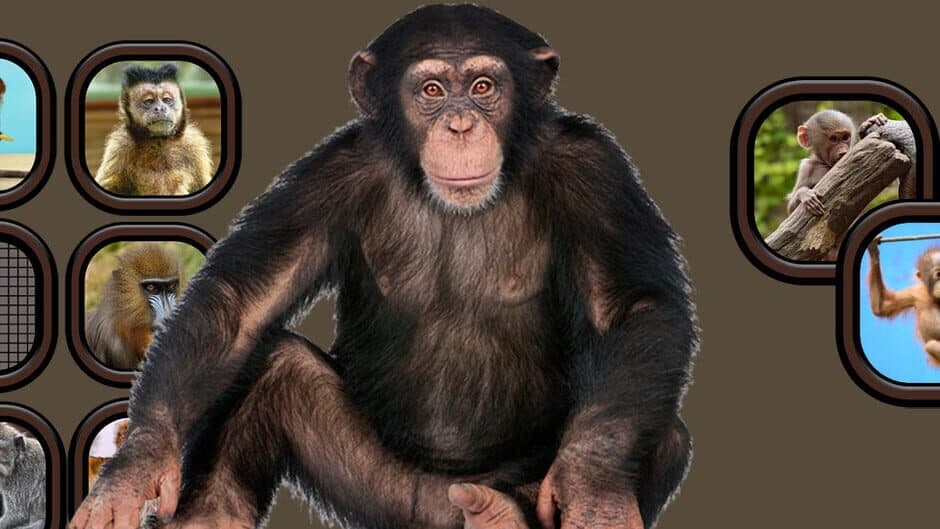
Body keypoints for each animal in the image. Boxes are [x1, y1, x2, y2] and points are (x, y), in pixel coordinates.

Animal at [93, 63, 213, 196]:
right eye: (149, 101)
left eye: (166, 100)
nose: (160, 108)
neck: (159, 140)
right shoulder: (120, 146)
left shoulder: (194, 145)